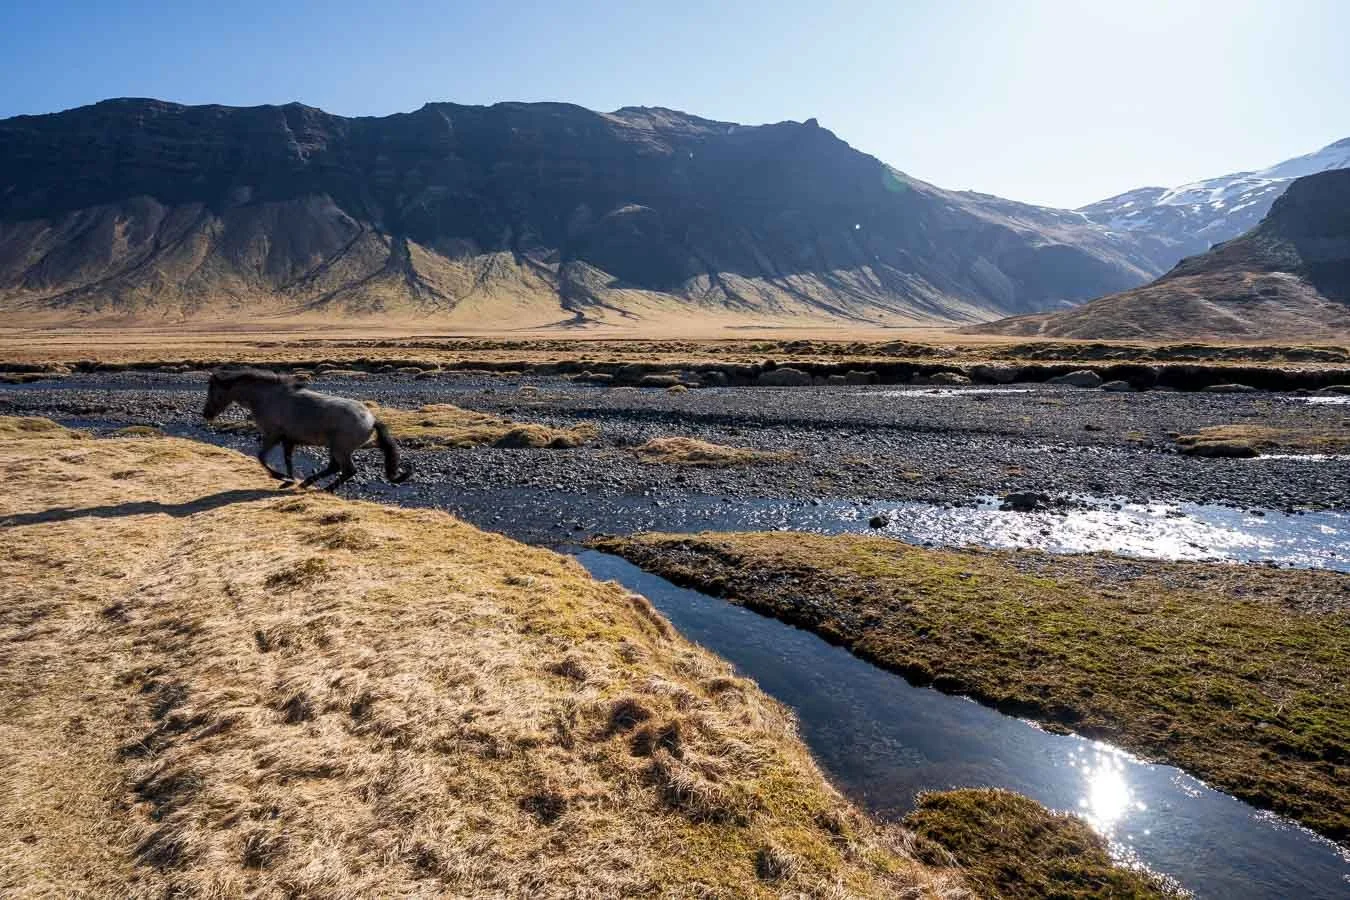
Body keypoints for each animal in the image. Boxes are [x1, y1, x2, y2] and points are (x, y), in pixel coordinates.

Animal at [203, 368, 412, 491]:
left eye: (213, 391)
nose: (206, 414)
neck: (265, 397)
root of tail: (372, 419)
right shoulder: (288, 439)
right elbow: (288, 460)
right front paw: (289, 479)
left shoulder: (272, 436)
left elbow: (261, 457)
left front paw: (279, 476)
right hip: (337, 447)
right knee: (337, 467)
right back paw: (307, 483)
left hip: (340, 449)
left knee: (348, 470)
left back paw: (325, 490)